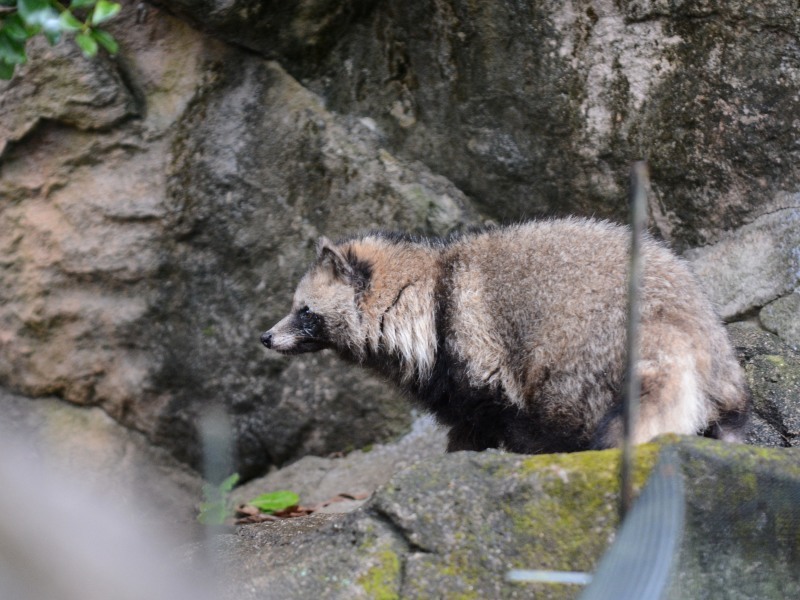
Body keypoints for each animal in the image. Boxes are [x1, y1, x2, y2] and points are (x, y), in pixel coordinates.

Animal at [260, 220, 748, 454]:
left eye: (305, 312)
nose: (265, 337)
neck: (429, 285)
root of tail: (672, 325)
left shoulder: (475, 355)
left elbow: (483, 418)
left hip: (576, 357)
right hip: (719, 371)